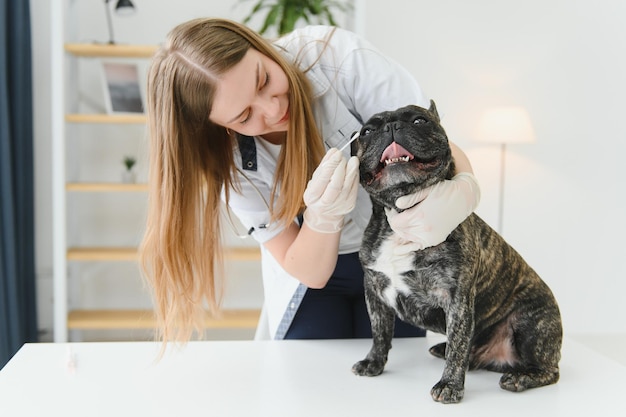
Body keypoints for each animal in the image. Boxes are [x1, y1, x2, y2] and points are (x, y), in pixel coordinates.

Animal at [352, 101, 560, 404]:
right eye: (367, 131)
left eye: (419, 120)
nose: (392, 126)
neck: (401, 216)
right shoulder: (374, 291)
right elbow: (379, 332)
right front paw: (374, 362)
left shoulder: (457, 299)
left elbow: (458, 345)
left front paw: (449, 385)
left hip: (531, 324)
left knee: (549, 370)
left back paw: (520, 377)